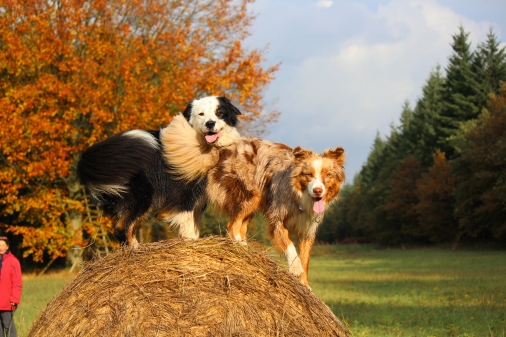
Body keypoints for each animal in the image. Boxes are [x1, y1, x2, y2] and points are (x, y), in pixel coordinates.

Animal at [78, 96, 242, 245]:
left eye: (220, 113)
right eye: (201, 114)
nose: (210, 123)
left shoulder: (199, 201)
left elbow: (195, 227)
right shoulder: (183, 194)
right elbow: (187, 225)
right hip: (141, 197)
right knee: (121, 229)